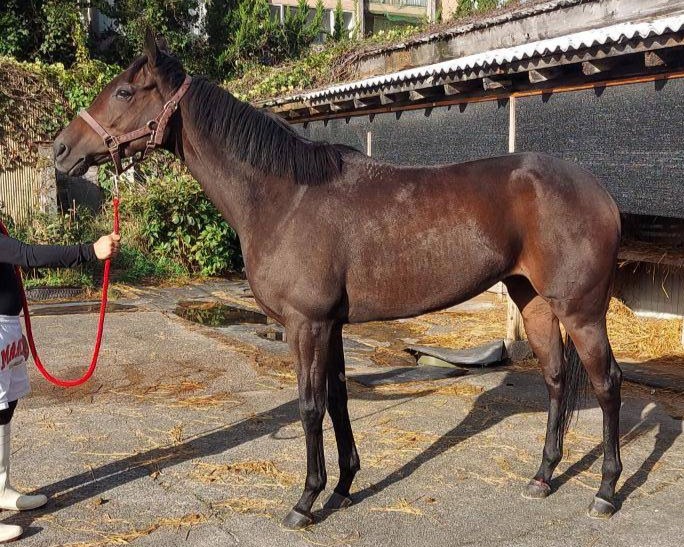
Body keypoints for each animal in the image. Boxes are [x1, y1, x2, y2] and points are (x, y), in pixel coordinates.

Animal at [53, 32, 623, 528]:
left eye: (125, 91)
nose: (60, 150)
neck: (285, 197)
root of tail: (599, 191)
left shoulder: (307, 325)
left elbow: (310, 406)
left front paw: (306, 500)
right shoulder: (333, 326)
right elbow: (339, 399)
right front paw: (345, 486)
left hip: (582, 312)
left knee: (606, 383)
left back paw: (605, 492)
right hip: (535, 302)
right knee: (555, 380)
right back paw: (542, 477)